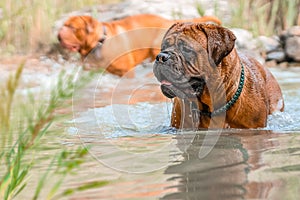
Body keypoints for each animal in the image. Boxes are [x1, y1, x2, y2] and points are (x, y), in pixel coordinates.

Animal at [57, 13, 220, 76]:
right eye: (64, 25)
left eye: (72, 27)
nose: (58, 34)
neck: (98, 43)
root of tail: (168, 20)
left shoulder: (126, 72)